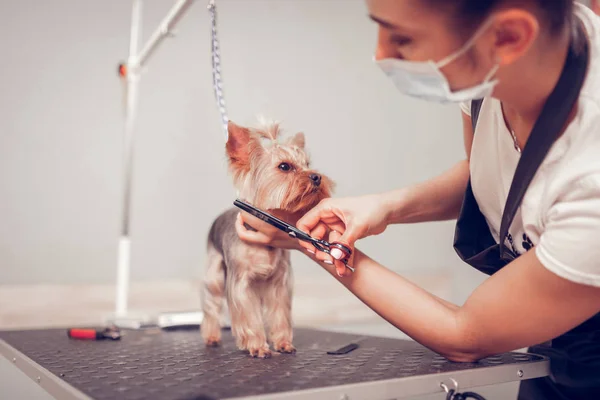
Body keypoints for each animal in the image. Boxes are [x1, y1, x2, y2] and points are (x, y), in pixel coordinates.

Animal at [200, 117, 332, 358]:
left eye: (308, 163)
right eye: (284, 166)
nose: (317, 176)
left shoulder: (279, 283)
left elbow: (279, 314)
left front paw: (283, 343)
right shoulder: (241, 284)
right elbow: (250, 317)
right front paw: (258, 346)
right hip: (214, 274)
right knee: (211, 306)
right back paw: (212, 336)